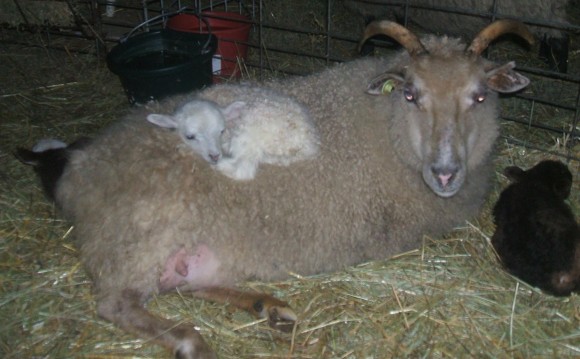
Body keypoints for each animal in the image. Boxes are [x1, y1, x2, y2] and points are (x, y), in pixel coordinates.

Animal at [144, 90, 318, 180]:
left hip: (249, 132)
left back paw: (221, 166)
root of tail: (308, 144)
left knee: (244, 169)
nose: (215, 156)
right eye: (190, 136)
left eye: (221, 131)